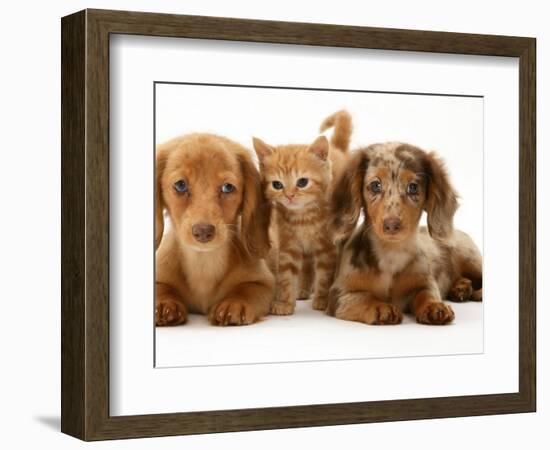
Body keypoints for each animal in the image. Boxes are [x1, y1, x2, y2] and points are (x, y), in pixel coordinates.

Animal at [254, 110, 354, 312]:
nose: (290, 195)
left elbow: (325, 274)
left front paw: (322, 300)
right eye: (277, 185)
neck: (303, 217)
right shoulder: (288, 244)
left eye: (302, 182)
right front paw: (285, 303)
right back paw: (303, 290)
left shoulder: (327, 247)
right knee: (307, 265)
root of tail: (335, 148)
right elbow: (286, 274)